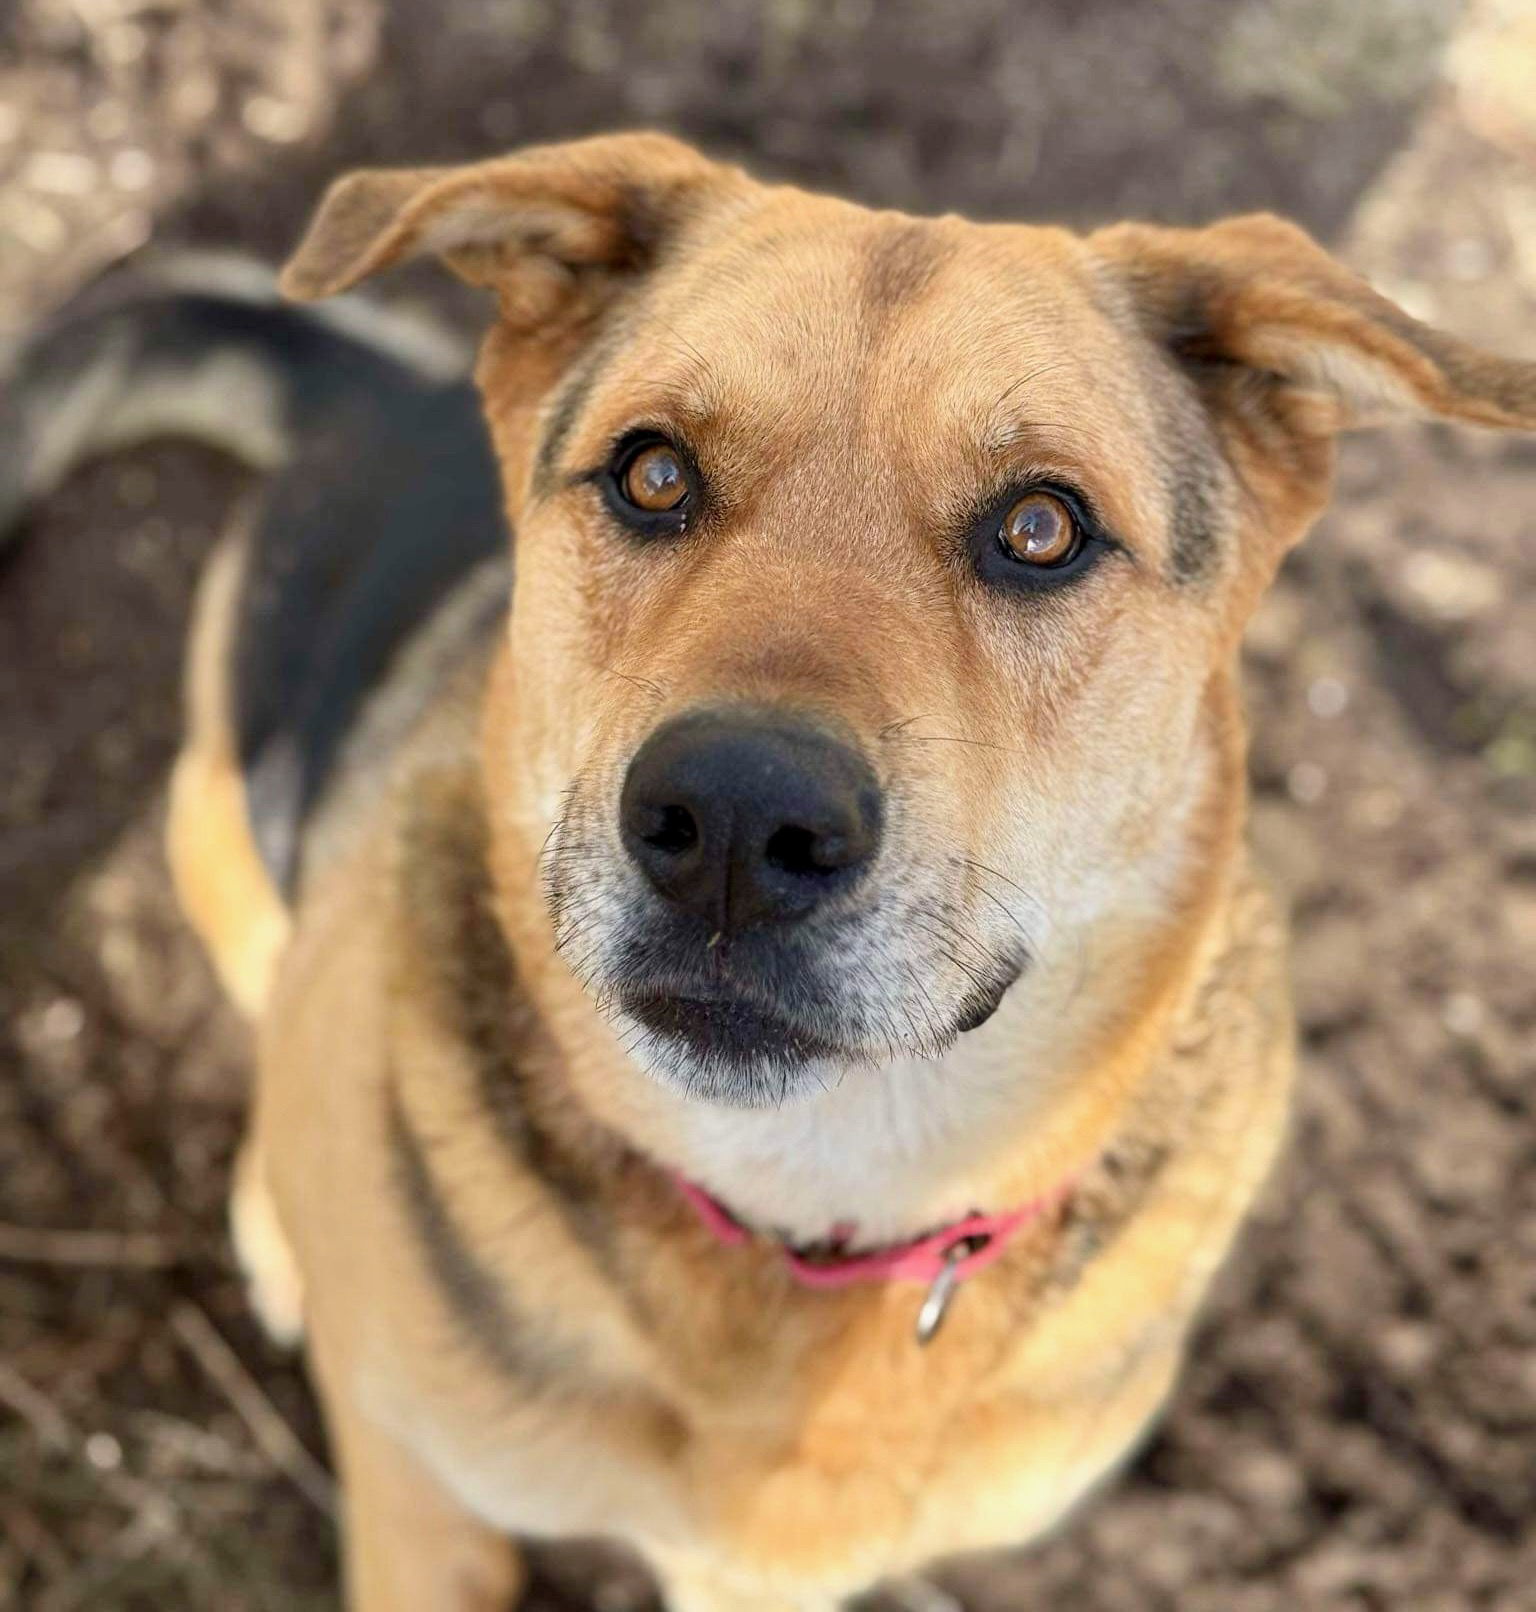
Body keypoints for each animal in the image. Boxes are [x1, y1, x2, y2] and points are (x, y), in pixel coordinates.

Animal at [5, 132, 1527, 1605]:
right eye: (653, 473)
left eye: (1043, 528)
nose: (735, 821)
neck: (807, 1208)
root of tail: (384, 393)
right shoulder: (420, 1503)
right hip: (228, 826)